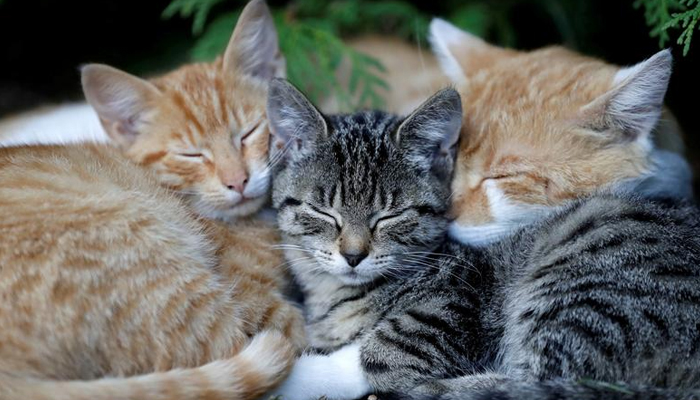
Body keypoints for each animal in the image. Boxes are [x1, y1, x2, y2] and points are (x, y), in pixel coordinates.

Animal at [264, 79, 700, 400]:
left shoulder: (456, 306)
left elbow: (381, 352)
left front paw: (296, 373)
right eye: (323, 212)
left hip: (589, 268)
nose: (353, 255)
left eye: (391, 215)